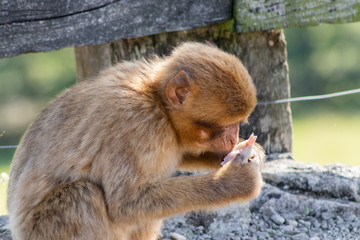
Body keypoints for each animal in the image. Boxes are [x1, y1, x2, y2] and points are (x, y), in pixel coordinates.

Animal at [7, 42, 266, 239]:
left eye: (238, 123)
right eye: (226, 125)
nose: (233, 136)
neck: (156, 101)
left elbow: (181, 152)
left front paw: (247, 151)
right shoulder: (136, 123)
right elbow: (125, 204)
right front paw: (236, 180)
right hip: (42, 230)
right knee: (80, 196)